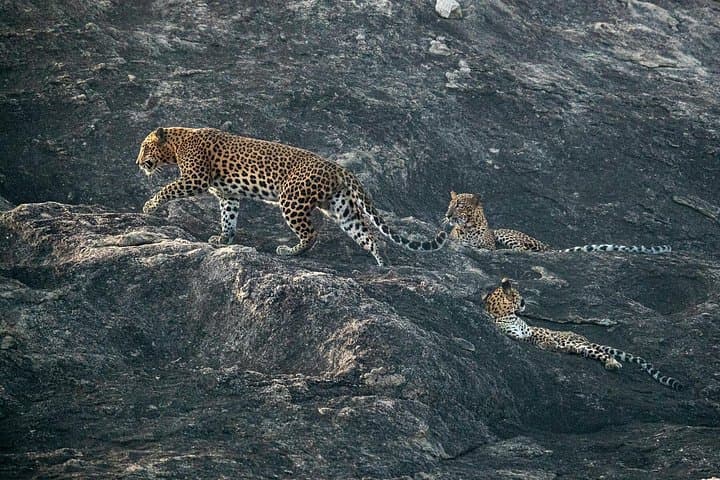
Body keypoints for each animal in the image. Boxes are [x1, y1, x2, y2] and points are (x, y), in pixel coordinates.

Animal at [136, 127, 448, 266]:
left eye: (144, 147)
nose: (138, 163)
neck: (177, 143)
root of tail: (339, 168)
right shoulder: (227, 195)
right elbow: (228, 217)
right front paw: (223, 239)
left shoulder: (195, 179)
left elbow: (167, 189)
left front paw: (149, 207)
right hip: (341, 207)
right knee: (366, 232)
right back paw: (382, 262)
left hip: (292, 199)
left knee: (311, 233)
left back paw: (289, 251)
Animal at [444, 191, 671, 254]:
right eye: (450, 204)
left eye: (459, 205)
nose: (447, 215)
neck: (468, 227)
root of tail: (548, 246)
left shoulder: (488, 244)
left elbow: (483, 247)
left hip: (506, 234)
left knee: (523, 249)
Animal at [483, 277, 682, 390]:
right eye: (518, 294)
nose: (524, 301)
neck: (506, 314)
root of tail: (584, 338)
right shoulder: (515, 335)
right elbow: (530, 338)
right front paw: (549, 345)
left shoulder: (530, 330)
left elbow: (541, 334)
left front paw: (549, 342)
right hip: (581, 346)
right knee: (593, 352)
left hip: (580, 343)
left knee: (603, 353)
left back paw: (613, 363)